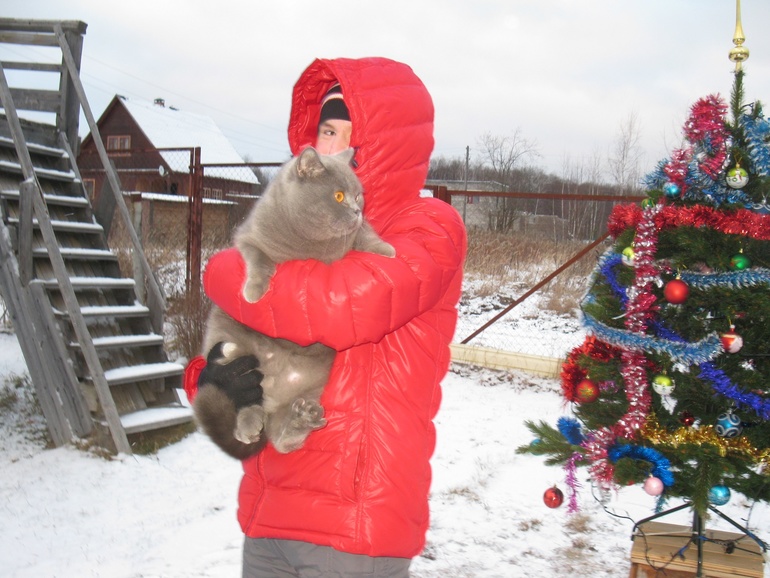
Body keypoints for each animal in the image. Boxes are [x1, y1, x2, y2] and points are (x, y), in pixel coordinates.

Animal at [195, 147, 395, 459]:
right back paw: (248, 423)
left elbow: (365, 235)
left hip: (315, 387)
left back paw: (299, 421)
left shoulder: (353, 236)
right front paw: (254, 291)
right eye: (339, 196)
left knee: (281, 438)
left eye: (358, 195)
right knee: (245, 400)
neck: (310, 244)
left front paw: (386, 250)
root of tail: (276, 389)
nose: (357, 210)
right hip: (227, 343)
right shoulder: (247, 238)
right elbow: (258, 259)